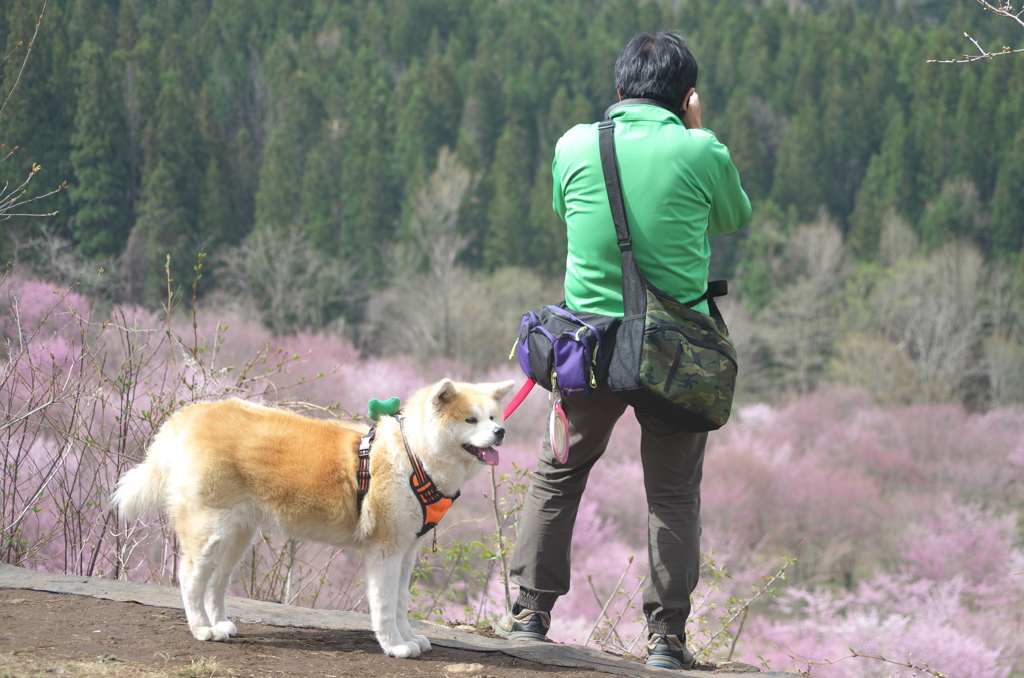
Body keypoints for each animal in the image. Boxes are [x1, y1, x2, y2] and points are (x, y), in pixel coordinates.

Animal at [114, 376, 512, 659]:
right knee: (190, 579)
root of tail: (193, 413)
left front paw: (410, 638)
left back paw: (221, 624)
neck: (414, 456)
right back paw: (202, 629)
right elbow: (385, 605)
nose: (500, 432)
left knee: (216, 583)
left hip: (237, 535)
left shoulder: (406, 552)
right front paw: (395, 646)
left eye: (493, 417)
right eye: (471, 419)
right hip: (210, 530)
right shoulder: (384, 550)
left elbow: (401, 604)